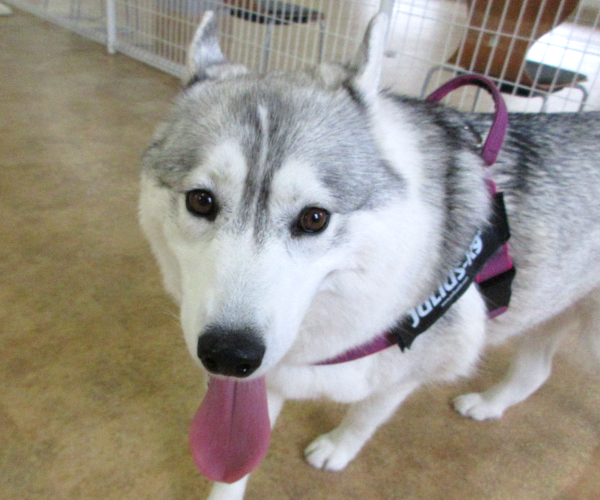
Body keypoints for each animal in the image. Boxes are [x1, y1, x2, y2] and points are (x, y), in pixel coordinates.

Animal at [139, 11, 600, 500]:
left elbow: (365, 416)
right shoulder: (265, 379)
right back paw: (489, 404)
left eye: (314, 218)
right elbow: (234, 468)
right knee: (536, 372)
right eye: (201, 201)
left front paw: (339, 448)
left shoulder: (406, 373)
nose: (229, 355)